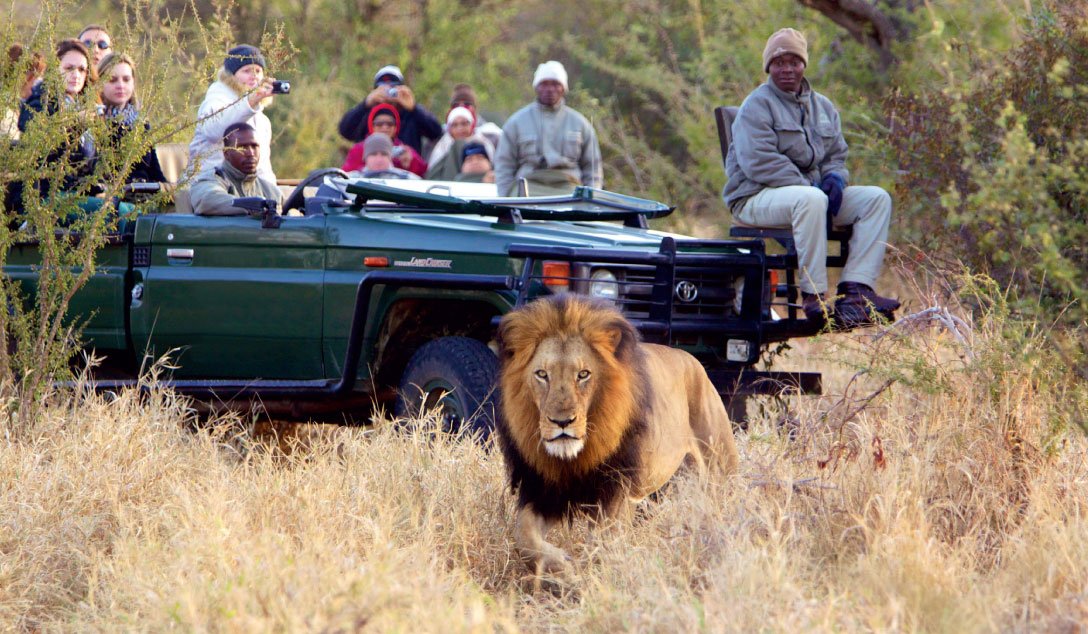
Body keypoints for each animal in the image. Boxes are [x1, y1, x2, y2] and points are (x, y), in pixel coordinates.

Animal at [496, 295, 739, 578]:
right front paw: (562, 566)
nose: (562, 422)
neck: (575, 457)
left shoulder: (616, 494)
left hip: (719, 468)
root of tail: (693, 360)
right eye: (542, 374)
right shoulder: (542, 491)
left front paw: (585, 574)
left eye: (583, 374)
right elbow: (523, 538)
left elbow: (600, 544)